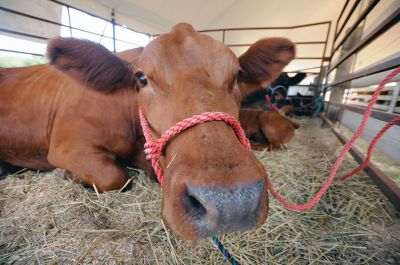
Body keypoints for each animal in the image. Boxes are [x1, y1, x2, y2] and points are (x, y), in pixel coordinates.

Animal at [0, 22, 294, 239]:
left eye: (236, 76)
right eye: (141, 78)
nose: (231, 202)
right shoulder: (66, 146)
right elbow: (115, 177)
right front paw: (70, 176)